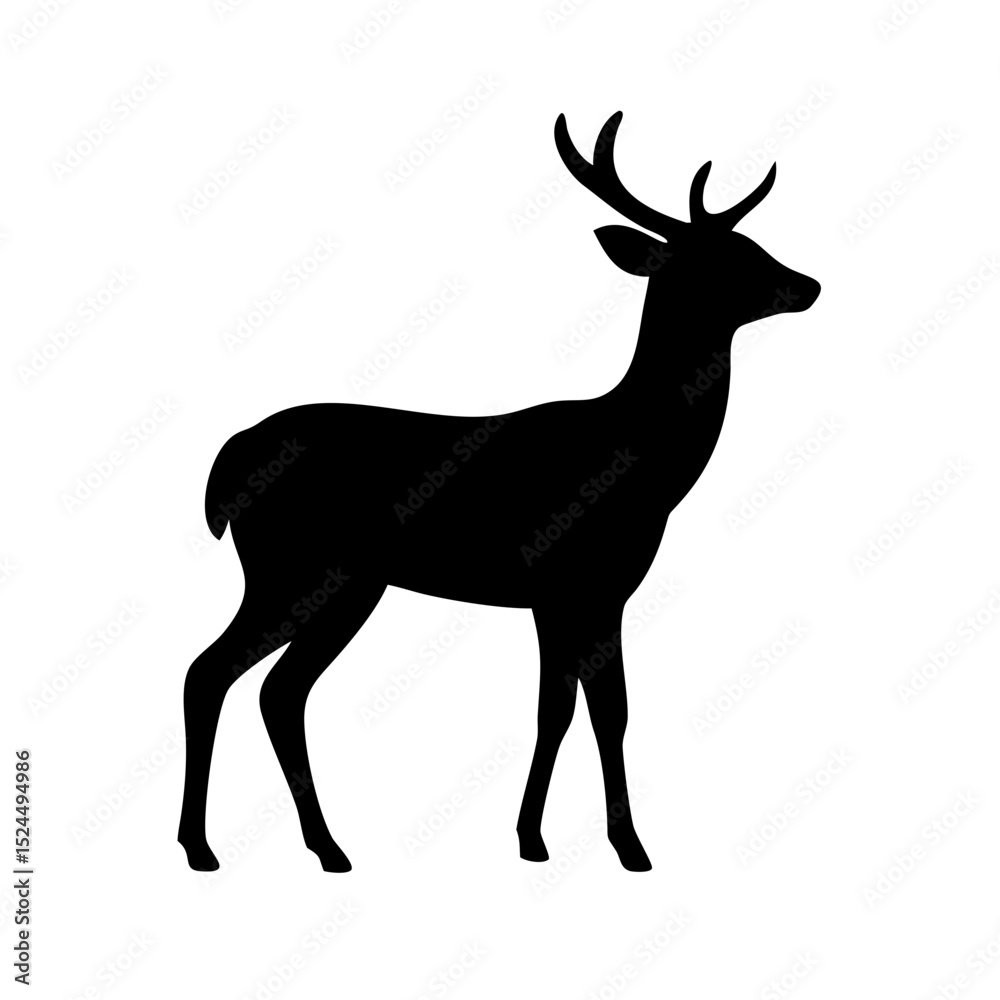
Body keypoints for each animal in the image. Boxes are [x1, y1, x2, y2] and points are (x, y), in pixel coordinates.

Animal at [177, 112, 820, 874]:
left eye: (753, 245)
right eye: (722, 261)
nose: (807, 285)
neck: (643, 465)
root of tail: (226, 464)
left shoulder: (585, 593)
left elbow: (586, 710)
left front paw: (573, 841)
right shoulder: (569, 581)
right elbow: (582, 709)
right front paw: (592, 845)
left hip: (344, 582)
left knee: (277, 690)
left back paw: (324, 848)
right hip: (295, 567)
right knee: (213, 672)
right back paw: (204, 847)